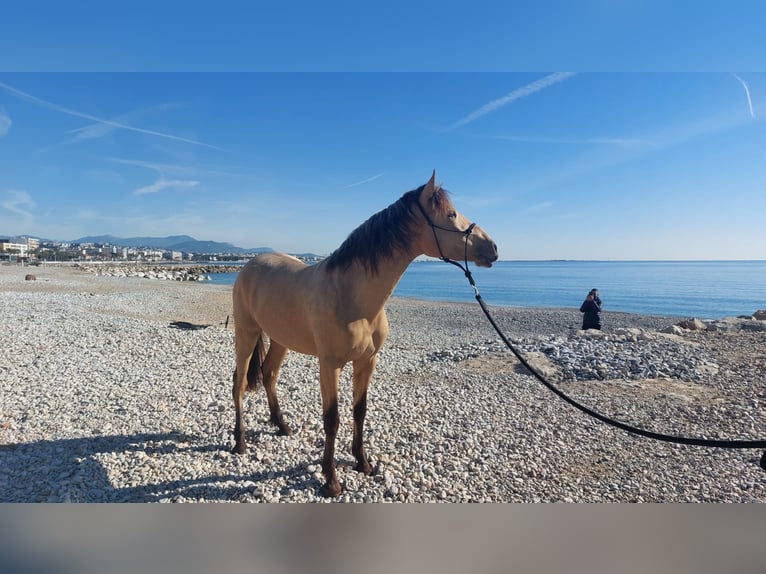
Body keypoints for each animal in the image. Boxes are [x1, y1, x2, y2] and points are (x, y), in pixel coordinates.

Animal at [231, 172, 500, 500]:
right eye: (451, 214)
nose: (493, 248)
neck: (353, 297)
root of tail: (249, 265)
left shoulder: (367, 361)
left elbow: (360, 410)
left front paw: (363, 463)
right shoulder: (329, 365)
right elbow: (331, 419)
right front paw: (331, 481)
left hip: (281, 339)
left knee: (269, 374)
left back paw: (282, 426)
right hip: (246, 333)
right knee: (239, 383)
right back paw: (240, 443)